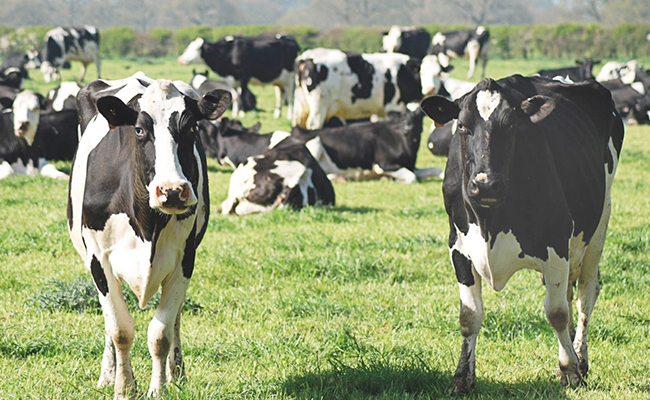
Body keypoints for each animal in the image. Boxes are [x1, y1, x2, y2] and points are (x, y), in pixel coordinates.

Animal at [67, 73, 231, 399]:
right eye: (140, 129)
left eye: (191, 127)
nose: (172, 190)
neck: (147, 225)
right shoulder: (98, 260)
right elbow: (120, 329)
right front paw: (123, 387)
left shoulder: (184, 259)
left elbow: (160, 333)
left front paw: (159, 388)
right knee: (109, 323)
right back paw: (108, 374)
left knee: (176, 316)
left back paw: (176, 372)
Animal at [291, 107, 441, 183]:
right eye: (402, 119)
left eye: (418, 117)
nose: (408, 128)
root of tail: (300, 129)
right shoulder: (383, 164)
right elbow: (412, 177)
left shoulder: (411, 166)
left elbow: (437, 170)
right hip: (315, 143)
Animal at [420, 74, 624, 394]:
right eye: (462, 125)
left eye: (512, 125)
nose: (485, 184)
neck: (490, 220)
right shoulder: (459, 248)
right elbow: (469, 316)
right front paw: (462, 378)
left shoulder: (556, 243)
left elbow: (556, 312)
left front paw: (570, 371)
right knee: (570, 294)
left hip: (600, 222)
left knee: (585, 294)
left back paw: (581, 358)